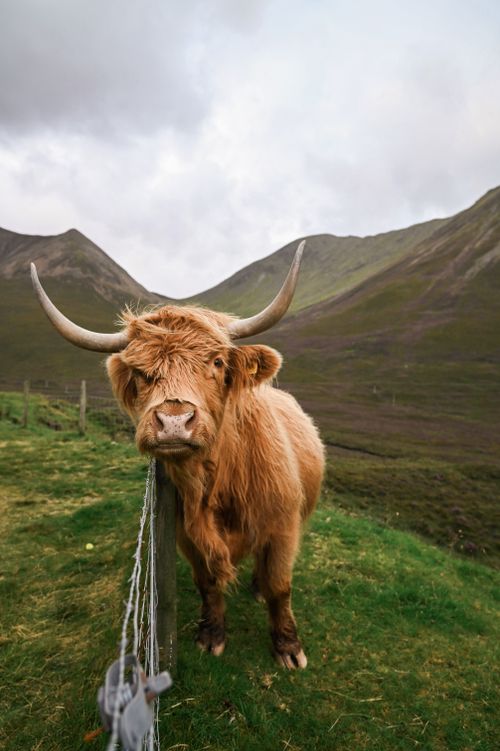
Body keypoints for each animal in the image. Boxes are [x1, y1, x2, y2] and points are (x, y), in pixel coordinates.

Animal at [31, 242, 324, 669]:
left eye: (216, 362)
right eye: (139, 373)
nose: (173, 421)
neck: (220, 481)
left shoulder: (282, 526)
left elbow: (280, 585)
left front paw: (287, 647)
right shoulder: (187, 536)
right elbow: (208, 584)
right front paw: (211, 634)